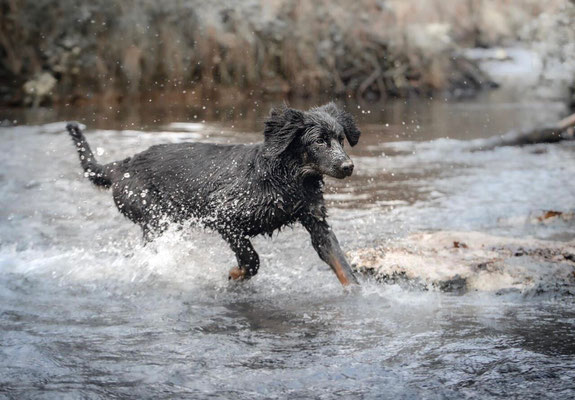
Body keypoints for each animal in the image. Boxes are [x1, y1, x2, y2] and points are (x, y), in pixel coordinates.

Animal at [67, 101, 362, 286]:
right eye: (318, 141)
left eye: (341, 139)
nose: (348, 167)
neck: (286, 180)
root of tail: (122, 166)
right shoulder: (223, 214)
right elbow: (251, 259)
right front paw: (236, 273)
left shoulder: (316, 221)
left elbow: (342, 265)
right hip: (154, 219)